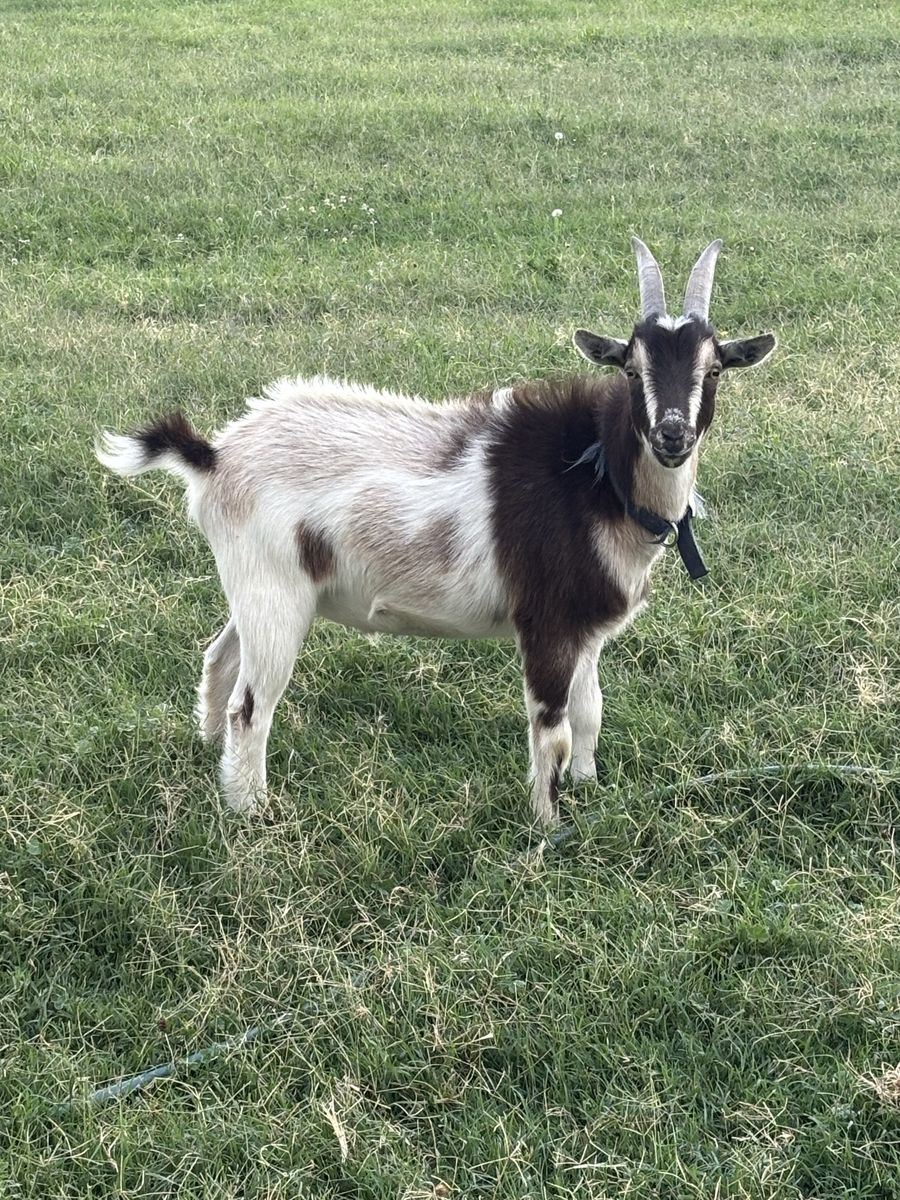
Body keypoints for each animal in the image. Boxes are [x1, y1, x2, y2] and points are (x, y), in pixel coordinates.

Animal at [96, 238, 776, 825]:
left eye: (715, 369)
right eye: (631, 369)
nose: (671, 435)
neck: (596, 479)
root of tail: (214, 457)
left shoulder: (585, 630)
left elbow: (589, 714)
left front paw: (589, 789)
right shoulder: (546, 624)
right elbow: (552, 733)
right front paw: (549, 830)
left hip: (261, 589)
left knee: (219, 657)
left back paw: (208, 755)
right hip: (275, 593)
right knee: (250, 708)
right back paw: (252, 811)